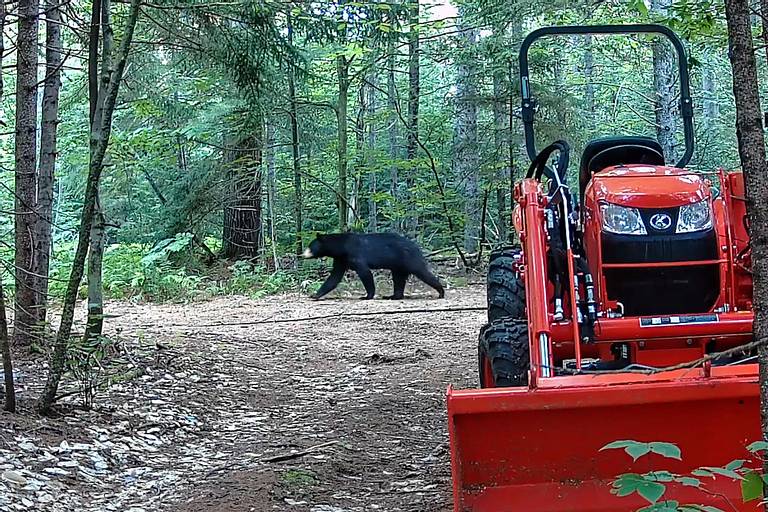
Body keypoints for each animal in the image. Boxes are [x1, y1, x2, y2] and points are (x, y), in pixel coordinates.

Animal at [303, 233, 445, 300]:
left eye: (310, 246)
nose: (303, 254)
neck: (341, 247)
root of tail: (416, 246)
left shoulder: (355, 254)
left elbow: (365, 272)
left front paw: (367, 296)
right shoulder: (341, 259)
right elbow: (334, 277)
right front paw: (315, 295)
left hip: (409, 259)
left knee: (422, 272)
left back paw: (441, 291)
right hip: (398, 265)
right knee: (398, 279)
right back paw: (393, 296)